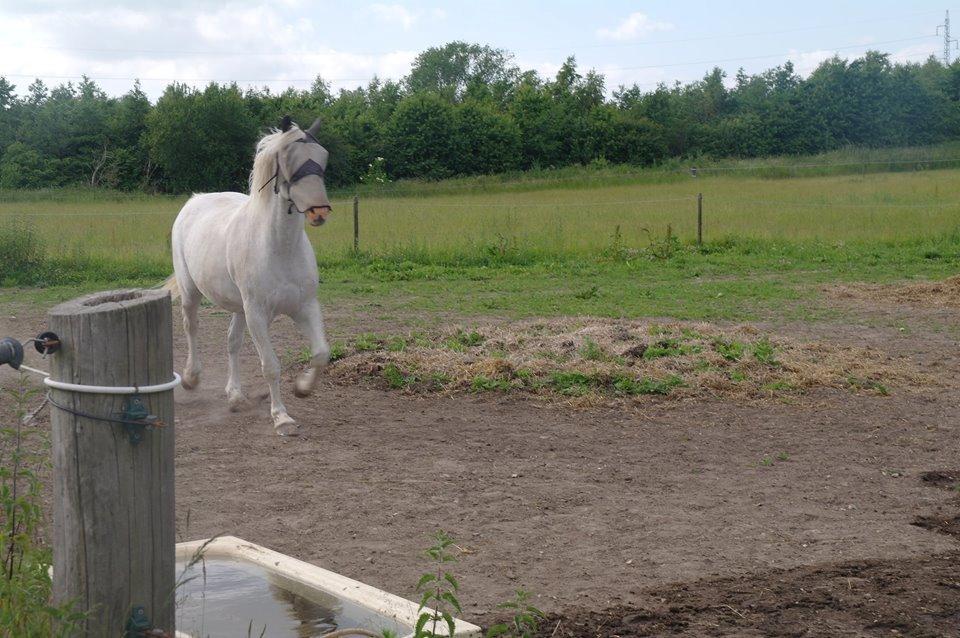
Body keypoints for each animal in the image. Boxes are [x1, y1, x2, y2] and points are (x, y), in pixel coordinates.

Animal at [163, 116, 332, 436]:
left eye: (323, 157)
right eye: (287, 159)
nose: (319, 211)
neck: (279, 248)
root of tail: (195, 200)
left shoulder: (305, 307)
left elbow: (321, 353)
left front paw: (302, 388)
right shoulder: (256, 313)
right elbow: (271, 366)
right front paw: (282, 418)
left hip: (239, 307)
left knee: (232, 342)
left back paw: (236, 396)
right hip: (192, 292)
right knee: (191, 327)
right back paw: (191, 378)